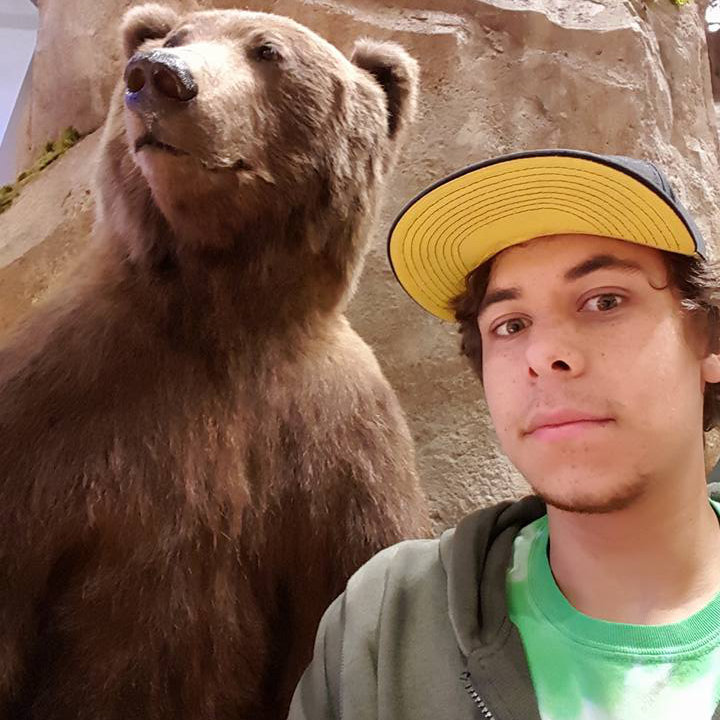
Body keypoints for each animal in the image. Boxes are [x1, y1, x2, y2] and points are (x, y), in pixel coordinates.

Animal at [0, 5, 429, 720]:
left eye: (268, 51)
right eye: (173, 38)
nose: (158, 77)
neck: (222, 313)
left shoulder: (343, 445)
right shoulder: (59, 402)